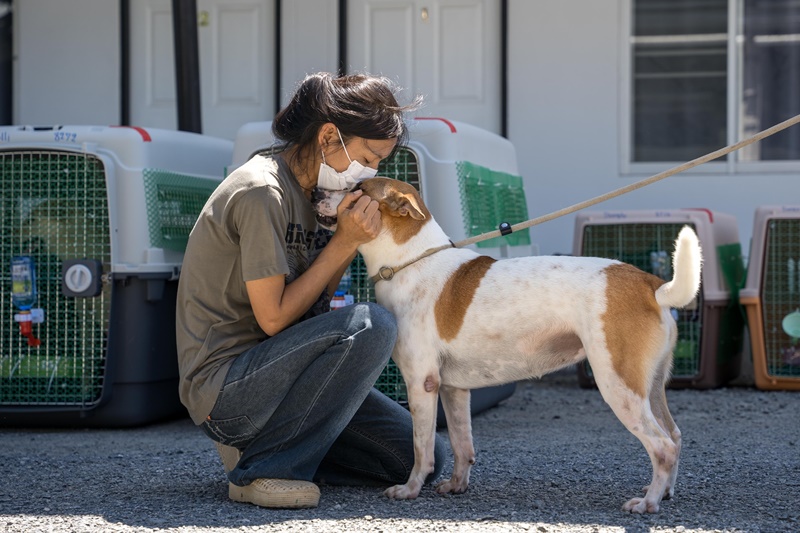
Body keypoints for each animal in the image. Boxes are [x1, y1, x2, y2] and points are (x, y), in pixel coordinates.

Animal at [312, 178, 700, 512]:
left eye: (357, 187)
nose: (315, 191)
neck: (411, 262)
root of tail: (651, 285)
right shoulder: (453, 389)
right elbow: (462, 444)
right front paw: (457, 485)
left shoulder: (422, 383)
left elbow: (422, 448)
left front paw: (410, 489)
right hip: (649, 388)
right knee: (676, 435)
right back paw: (665, 493)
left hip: (619, 386)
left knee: (663, 446)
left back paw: (648, 502)